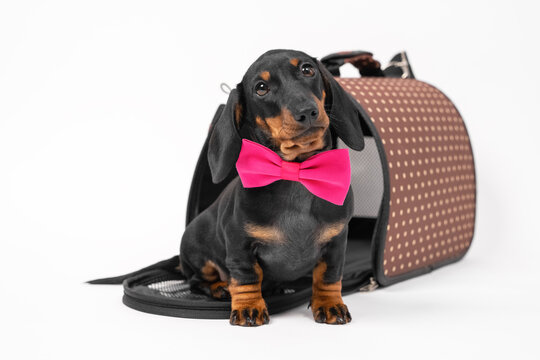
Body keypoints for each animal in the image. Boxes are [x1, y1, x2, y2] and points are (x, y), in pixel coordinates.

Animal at [179, 48, 364, 326]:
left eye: (307, 69)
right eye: (261, 88)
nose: (307, 111)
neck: (296, 173)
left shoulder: (336, 242)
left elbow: (329, 276)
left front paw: (330, 303)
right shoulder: (240, 245)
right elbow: (246, 277)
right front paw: (248, 307)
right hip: (197, 253)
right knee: (196, 280)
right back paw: (220, 287)